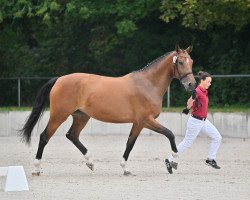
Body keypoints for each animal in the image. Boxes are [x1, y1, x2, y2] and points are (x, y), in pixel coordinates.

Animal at [20, 45, 195, 175]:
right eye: (180, 62)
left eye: (191, 61)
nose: (191, 84)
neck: (147, 84)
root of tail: (59, 79)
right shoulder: (146, 120)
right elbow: (169, 134)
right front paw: (174, 162)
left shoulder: (139, 123)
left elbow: (130, 143)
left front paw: (125, 168)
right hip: (59, 116)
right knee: (44, 137)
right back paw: (36, 168)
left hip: (81, 116)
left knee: (72, 135)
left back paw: (90, 162)